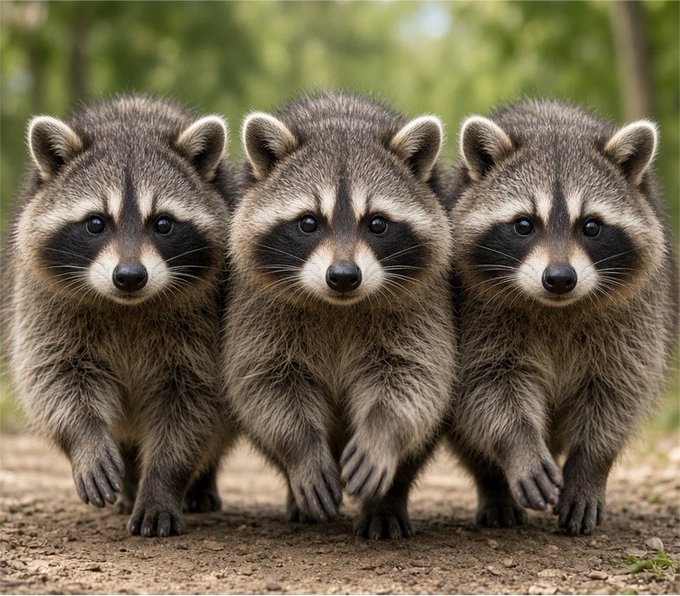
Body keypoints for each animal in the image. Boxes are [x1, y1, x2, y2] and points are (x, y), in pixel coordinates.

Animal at [1, 96, 238, 537]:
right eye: (96, 223)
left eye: (162, 223)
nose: (129, 276)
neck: (127, 306)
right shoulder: (42, 299)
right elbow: (53, 376)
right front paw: (86, 439)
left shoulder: (206, 322)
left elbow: (194, 402)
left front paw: (162, 482)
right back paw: (128, 482)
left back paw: (199, 484)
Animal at [223, 92, 455, 539]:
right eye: (309, 222)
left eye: (377, 223)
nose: (344, 276)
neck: (339, 308)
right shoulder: (257, 304)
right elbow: (267, 382)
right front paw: (302, 448)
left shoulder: (421, 304)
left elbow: (413, 377)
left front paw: (382, 433)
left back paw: (388, 500)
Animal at [446, 99, 678, 535]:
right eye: (524, 224)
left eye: (591, 226)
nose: (558, 279)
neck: (558, 309)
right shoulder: (479, 314)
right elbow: (488, 384)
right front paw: (518, 442)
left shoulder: (635, 317)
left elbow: (617, 393)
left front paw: (589, 468)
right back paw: (494, 486)